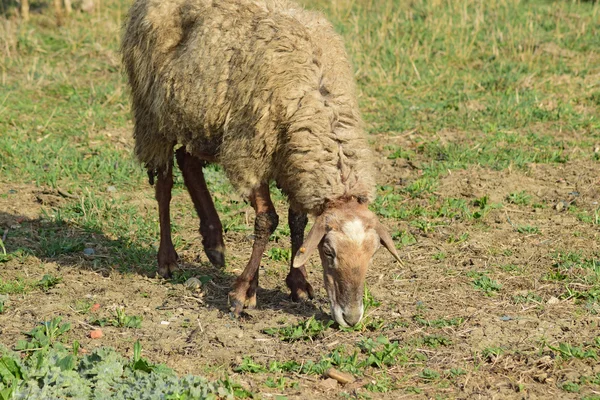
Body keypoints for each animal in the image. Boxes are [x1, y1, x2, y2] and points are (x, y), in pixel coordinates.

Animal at [120, 0, 404, 326]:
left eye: (372, 253)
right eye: (329, 252)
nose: (351, 316)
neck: (318, 100)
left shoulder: (293, 163)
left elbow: (297, 222)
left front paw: (299, 284)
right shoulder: (251, 152)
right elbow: (268, 220)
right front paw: (243, 293)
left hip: (203, 120)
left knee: (187, 160)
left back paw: (213, 241)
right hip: (154, 115)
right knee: (164, 184)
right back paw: (167, 259)